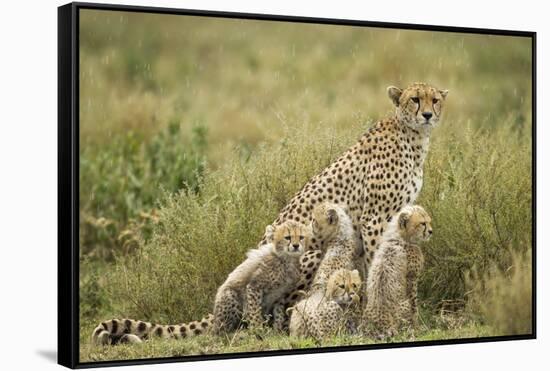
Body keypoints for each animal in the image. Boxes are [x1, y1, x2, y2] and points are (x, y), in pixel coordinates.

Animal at [92, 221, 312, 346]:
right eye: (287, 237)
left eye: (301, 237)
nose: (296, 245)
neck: (285, 260)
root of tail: (214, 315)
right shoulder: (254, 287)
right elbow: (255, 312)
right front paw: (259, 331)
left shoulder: (279, 296)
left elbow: (278, 313)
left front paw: (278, 332)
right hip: (230, 297)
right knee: (219, 332)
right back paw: (234, 333)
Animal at [364, 205, 434, 338]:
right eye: (422, 223)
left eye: (429, 222)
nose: (431, 231)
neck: (400, 237)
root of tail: (383, 325)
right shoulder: (412, 279)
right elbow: (414, 306)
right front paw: (417, 327)